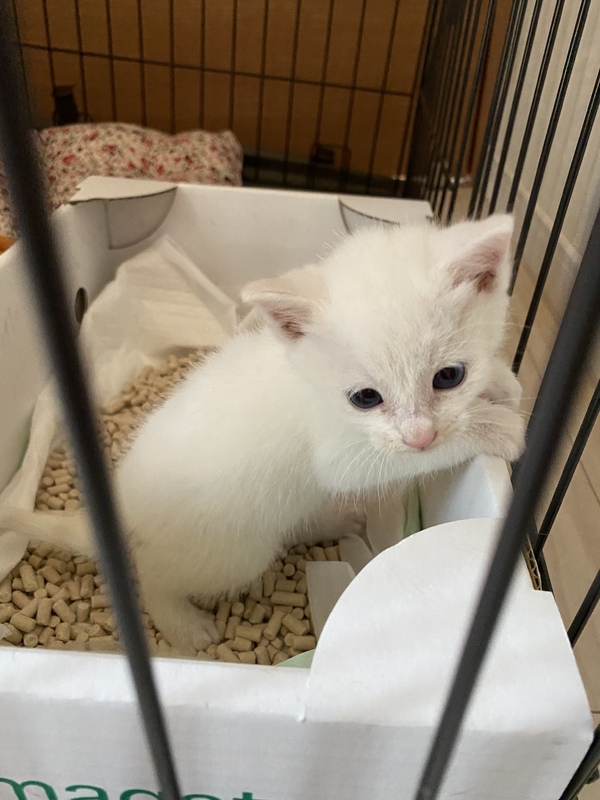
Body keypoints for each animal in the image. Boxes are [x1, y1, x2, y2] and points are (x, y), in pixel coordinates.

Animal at [0, 213, 525, 653]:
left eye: (449, 376)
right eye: (365, 398)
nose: (420, 435)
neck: (305, 377)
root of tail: (125, 513)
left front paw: (502, 384)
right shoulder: (340, 453)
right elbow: (389, 461)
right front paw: (498, 429)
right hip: (235, 551)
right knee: (153, 576)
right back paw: (181, 623)